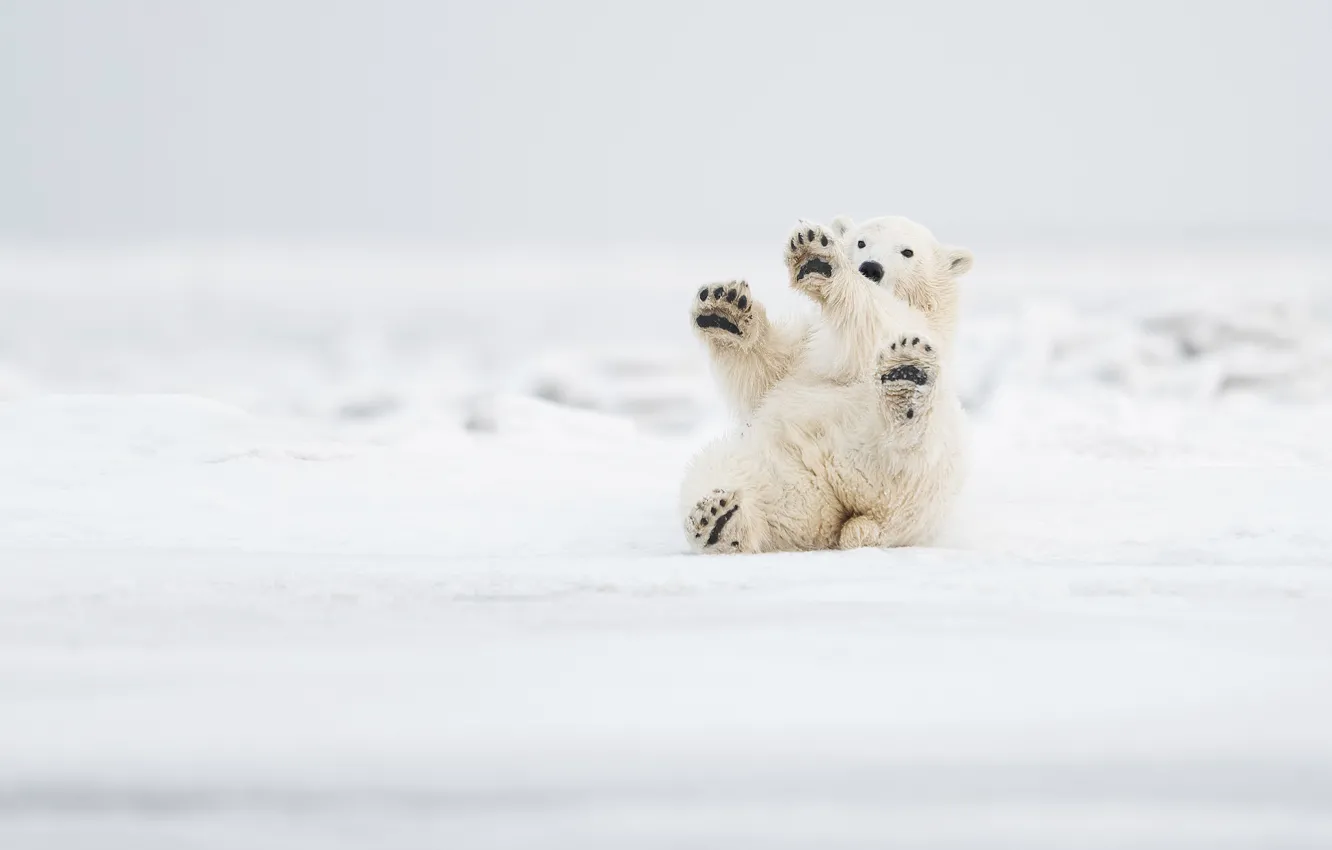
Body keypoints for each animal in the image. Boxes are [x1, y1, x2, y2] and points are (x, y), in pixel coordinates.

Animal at [679, 216, 974, 553]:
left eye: (907, 251)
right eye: (861, 242)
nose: (871, 268)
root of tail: (865, 519)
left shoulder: (922, 326)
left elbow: (877, 326)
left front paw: (819, 258)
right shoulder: (800, 351)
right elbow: (763, 376)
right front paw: (726, 307)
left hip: (922, 478)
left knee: (908, 452)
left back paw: (906, 382)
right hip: (786, 471)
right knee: (731, 475)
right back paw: (719, 521)